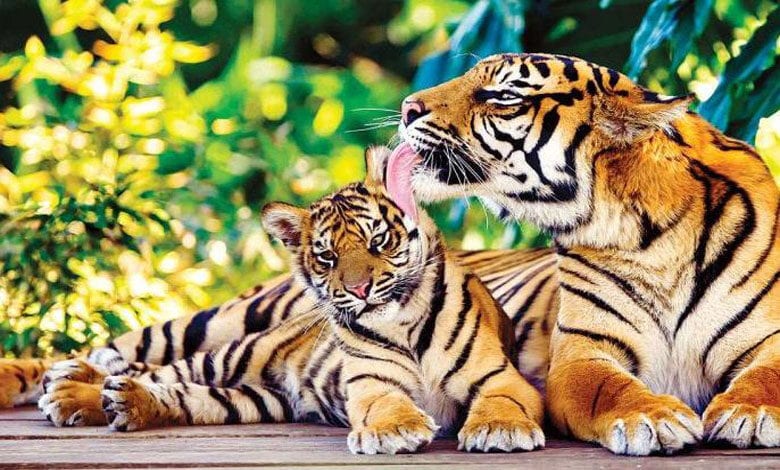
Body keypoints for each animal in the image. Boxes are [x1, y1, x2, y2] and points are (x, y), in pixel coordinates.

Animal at [15, 146, 550, 454]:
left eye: (378, 241)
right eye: (328, 257)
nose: (359, 289)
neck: (403, 324)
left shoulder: (500, 378)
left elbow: (502, 402)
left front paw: (499, 430)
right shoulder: (372, 385)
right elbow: (385, 404)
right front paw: (393, 431)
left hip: (254, 398)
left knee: (182, 394)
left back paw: (119, 401)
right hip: (235, 352)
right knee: (161, 369)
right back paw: (72, 390)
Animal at [392, 52, 779, 455]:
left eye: (503, 95)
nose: (406, 108)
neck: (652, 238)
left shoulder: (769, 338)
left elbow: (769, 375)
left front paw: (750, 411)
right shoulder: (581, 354)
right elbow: (610, 388)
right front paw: (653, 417)